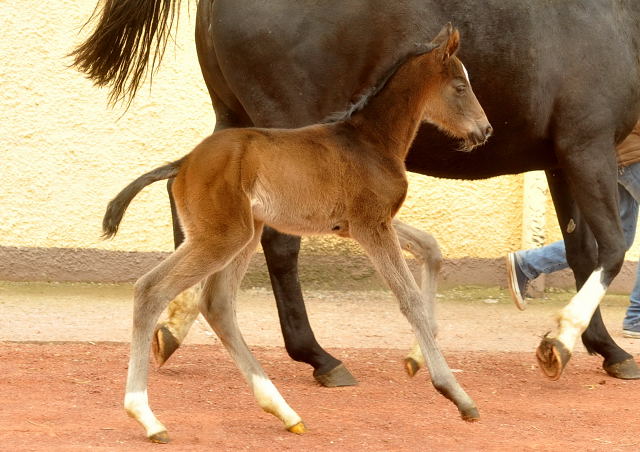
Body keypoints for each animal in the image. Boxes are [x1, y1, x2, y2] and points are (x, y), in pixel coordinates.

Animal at [104, 24, 490, 442]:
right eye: (460, 87)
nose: (485, 130)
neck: (370, 141)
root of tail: (184, 162)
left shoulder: (360, 225)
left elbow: (431, 248)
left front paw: (417, 357)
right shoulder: (372, 225)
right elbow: (409, 299)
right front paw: (456, 394)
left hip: (244, 233)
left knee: (218, 304)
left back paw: (283, 411)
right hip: (222, 236)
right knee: (152, 289)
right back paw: (147, 416)